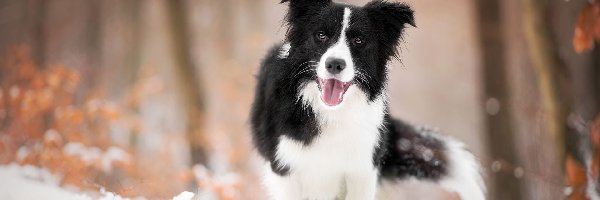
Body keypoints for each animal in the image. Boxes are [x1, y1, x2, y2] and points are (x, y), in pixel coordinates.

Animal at [251, 0, 486, 199]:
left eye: (358, 40)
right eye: (321, 35)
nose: (335, 64)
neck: (332, 113)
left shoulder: (361, 168)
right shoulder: (286, 169)